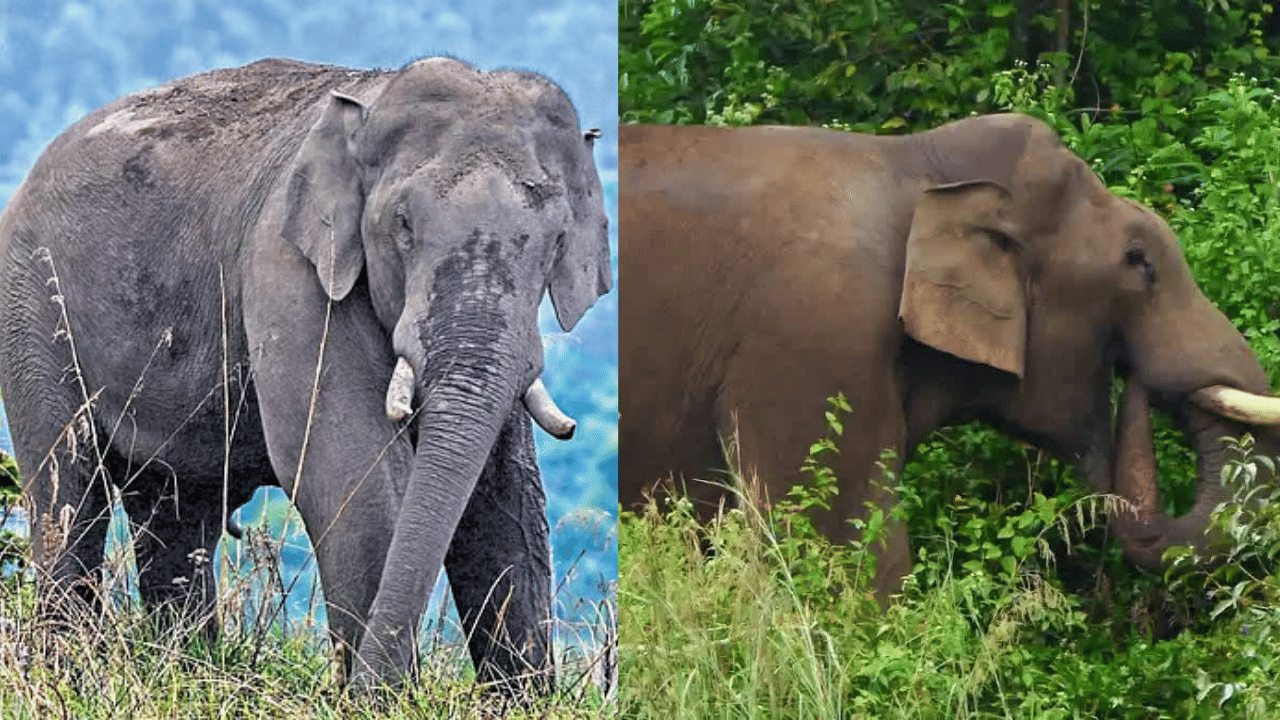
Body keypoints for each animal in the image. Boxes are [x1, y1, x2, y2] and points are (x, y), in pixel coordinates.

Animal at [0, 56, 611, 690]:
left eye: (557, 242)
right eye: (402, 225)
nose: (370, 689)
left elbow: (508, 503)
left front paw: (522, 700)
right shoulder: (291, 272)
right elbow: (355, 484)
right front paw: (379, 701)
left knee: (176, 509)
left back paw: (185, 670)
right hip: (31, 306)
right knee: (69, 491)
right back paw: (68, 676)